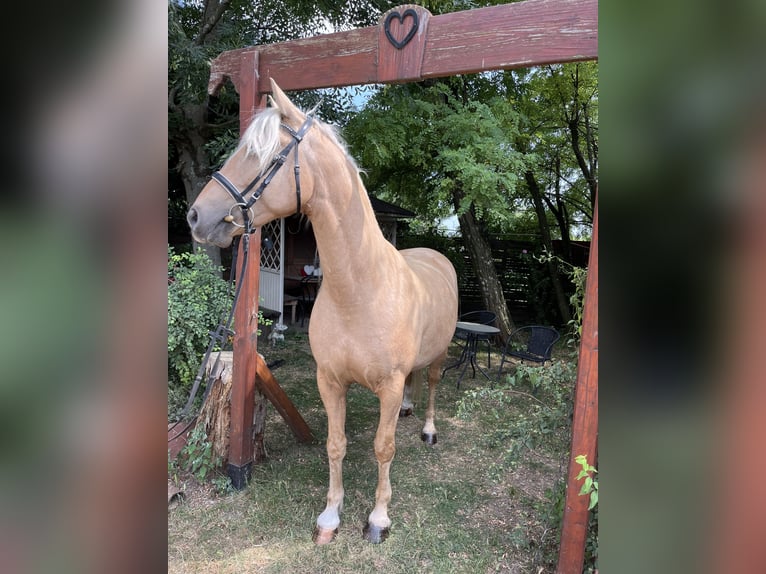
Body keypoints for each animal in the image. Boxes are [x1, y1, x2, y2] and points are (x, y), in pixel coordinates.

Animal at [189, 80, 460, 544]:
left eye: (262, 155)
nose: (194, 216)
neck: (360, 291)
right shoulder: (330, 381)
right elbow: (336, 445)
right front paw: (331, 516)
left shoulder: (388, 385)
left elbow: (383, 448)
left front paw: (378, 519)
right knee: (415, 386)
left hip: (440, 357)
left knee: (431, 386)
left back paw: (427, 429)